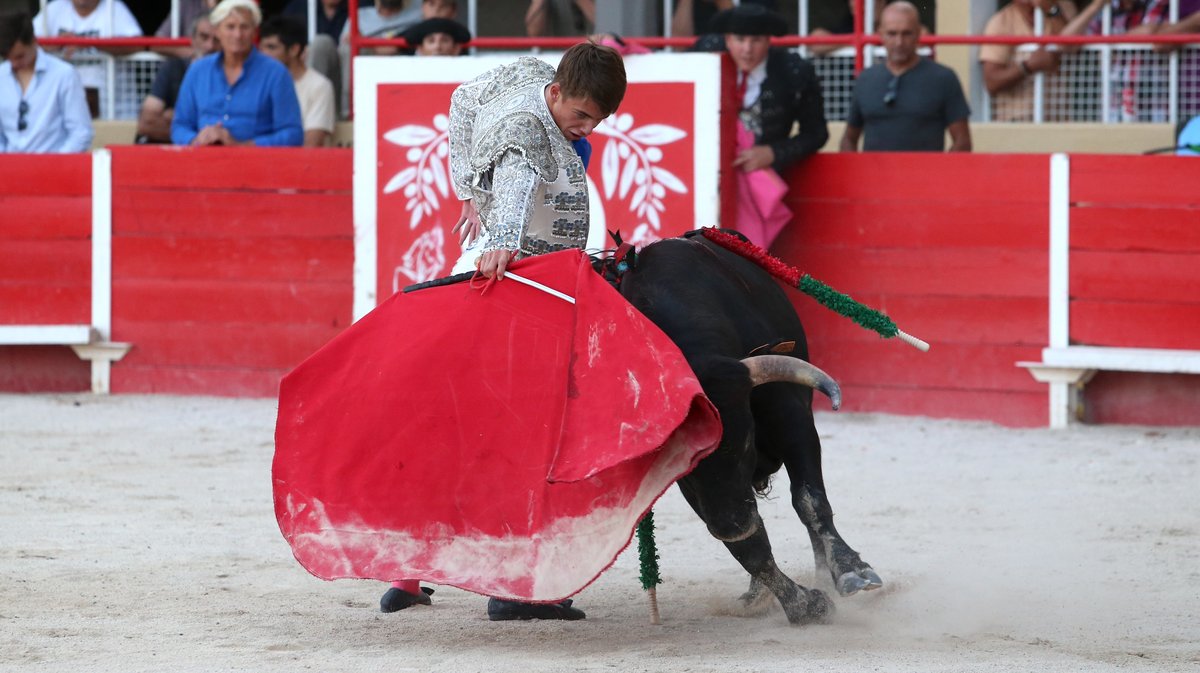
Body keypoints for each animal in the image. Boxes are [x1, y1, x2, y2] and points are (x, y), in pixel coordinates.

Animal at [619, 233, 883, 628]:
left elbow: (810, 501)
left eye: (744, 442)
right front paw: (803, 604)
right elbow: (750, 546)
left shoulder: (795, 422)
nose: (732, 524)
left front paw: (852, 571)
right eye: (683, 468)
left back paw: (825, 574)